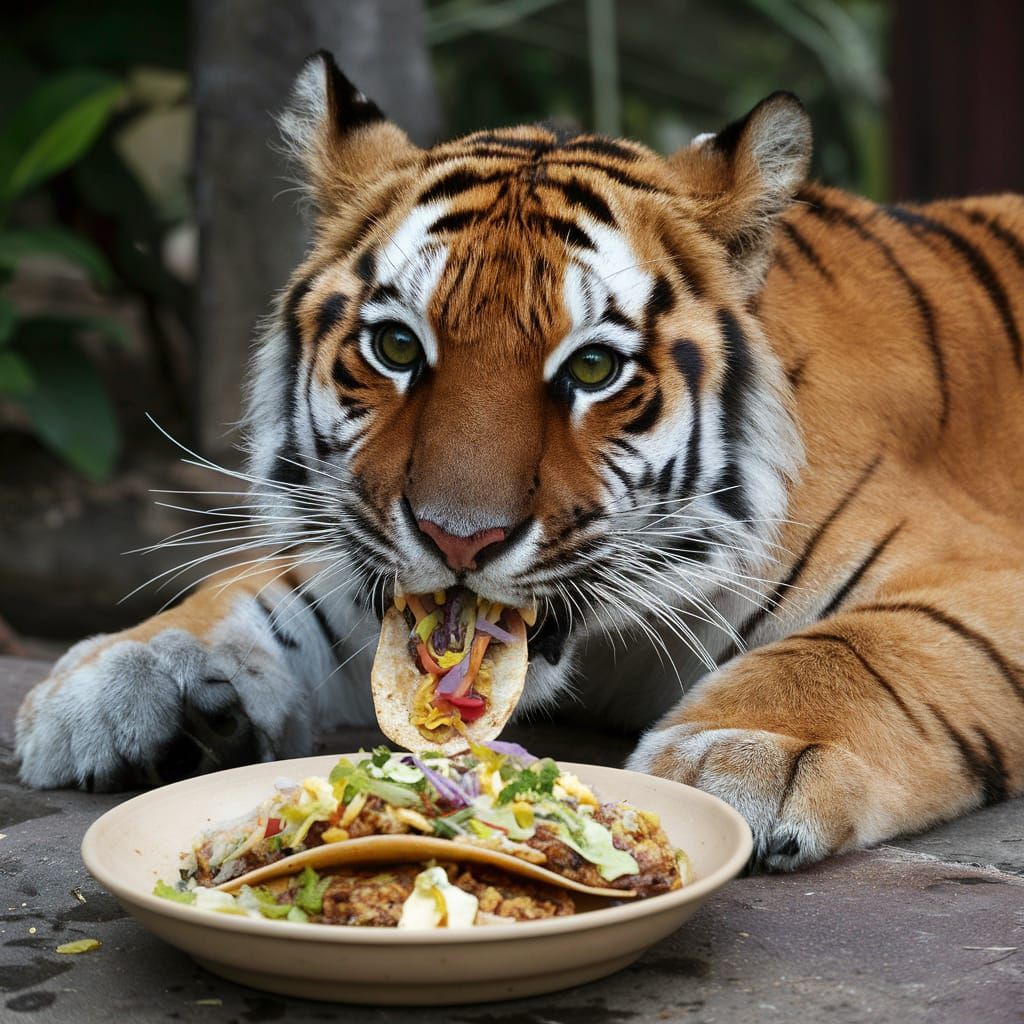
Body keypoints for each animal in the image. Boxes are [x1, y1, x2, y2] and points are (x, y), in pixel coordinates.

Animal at [15, 50, 1024, 871]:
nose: (460, 540)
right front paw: (111, 678)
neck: (617, 642)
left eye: (593, 368)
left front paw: (734, 755)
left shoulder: (979, 563)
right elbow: (267, 589)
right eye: (396, 347)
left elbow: (861, 647)